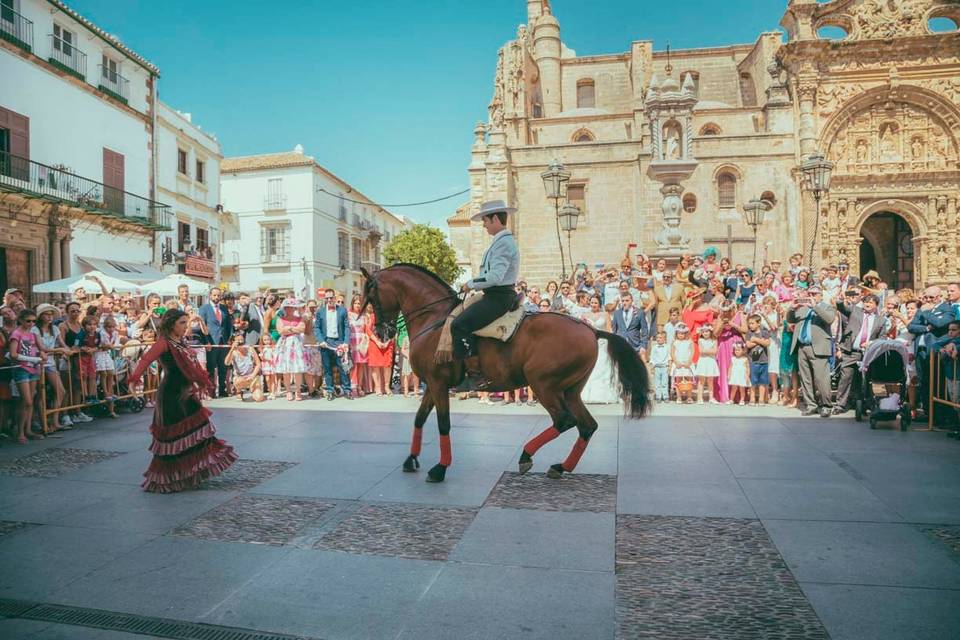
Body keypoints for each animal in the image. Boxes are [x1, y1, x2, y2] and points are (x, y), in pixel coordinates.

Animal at [360, 264, 652, 480]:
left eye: (371, 296)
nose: (381, 332)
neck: (434, 319)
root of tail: (591, 330)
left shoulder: (438, 383)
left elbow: (443, 424)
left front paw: (440, 468)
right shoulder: (433, 385)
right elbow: (419, 419)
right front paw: (411, 459)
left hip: (544, 385)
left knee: (564, 421)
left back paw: (526, 456)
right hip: (571, 390)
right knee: (587, 425)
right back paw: (561, 466)